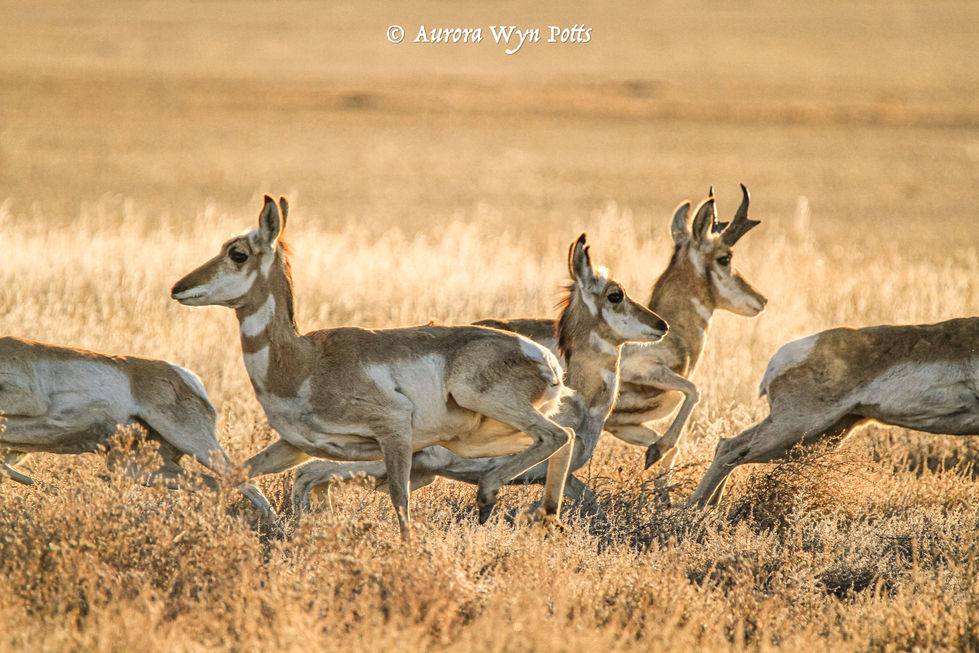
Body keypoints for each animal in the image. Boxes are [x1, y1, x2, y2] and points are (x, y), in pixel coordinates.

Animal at [0, 337, 275, 517]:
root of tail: (184, 376)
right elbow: (8, 466)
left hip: (195, 445)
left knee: (247, 484)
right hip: (137, 468)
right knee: (216, 486)